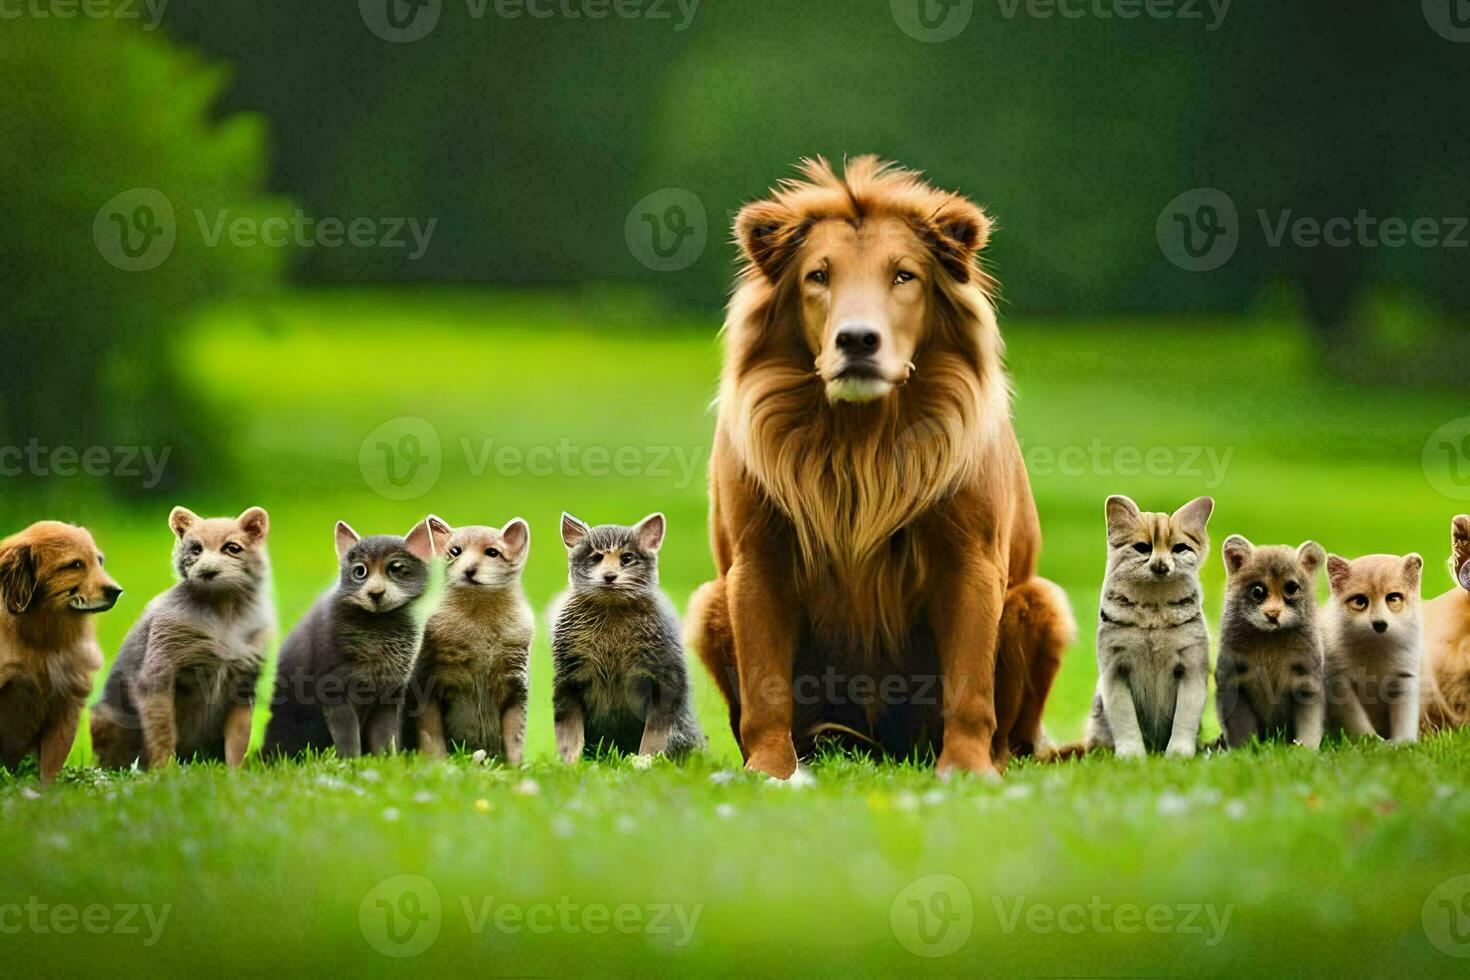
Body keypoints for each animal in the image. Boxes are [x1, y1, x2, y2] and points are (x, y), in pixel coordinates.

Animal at [0, 520, 122, 781]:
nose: (117, 591)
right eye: (75, 565)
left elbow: (49, 767)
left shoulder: (67, 707)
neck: (45, 640)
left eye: (99, 561)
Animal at [552, 514, 708, 764]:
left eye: (626, 558)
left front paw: (645, 762)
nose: (609, 576)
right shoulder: (569, 678)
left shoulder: (664, 678)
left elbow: (654, 734)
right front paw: (569, 764)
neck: (612, 612)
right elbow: (569, 730)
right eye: (596, 557)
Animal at [682, 157, 1076, 775]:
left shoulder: (970, 558)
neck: (859, 439)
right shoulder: (757, 560)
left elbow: (970, 685)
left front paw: (966, 770)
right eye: (818, 276)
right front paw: (770, 771)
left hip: (1038, 602)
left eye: (904, 276)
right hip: (709, 604)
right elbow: (766, 690)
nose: (858, 340)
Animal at [1087, 499, 1211, 758]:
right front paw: (1131, 757)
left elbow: (1185, 719)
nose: (1161, 566)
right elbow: (1125, 719)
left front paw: (1178, 756)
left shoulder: (1192, 667)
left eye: (1179, 548)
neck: (1153, 611)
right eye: (1142, 547)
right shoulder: (1114, 669)